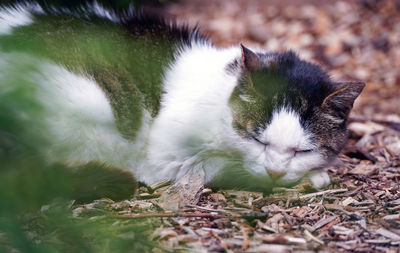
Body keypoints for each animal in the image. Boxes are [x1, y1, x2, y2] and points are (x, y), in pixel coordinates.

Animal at [0, 0, 362, 198]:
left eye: (303, 150)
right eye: (256, 139)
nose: (275, 171)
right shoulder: (166, 160)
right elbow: (231, 168)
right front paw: (313, 177)